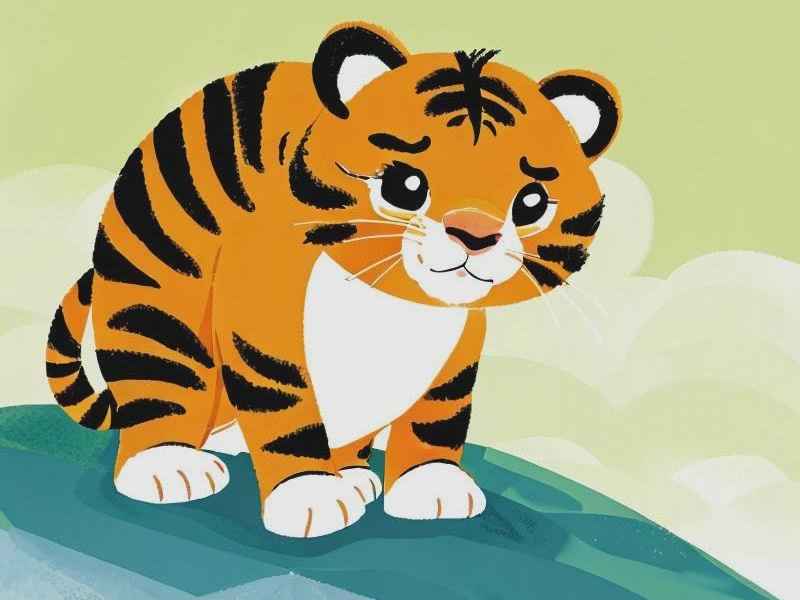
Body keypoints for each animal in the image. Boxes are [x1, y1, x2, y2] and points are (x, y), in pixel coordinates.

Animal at [44, 21, 620, 538]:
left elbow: (438, 418)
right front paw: (309, 495)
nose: (474, 234)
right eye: (406, 185)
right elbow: (286, 410)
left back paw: (350, 473)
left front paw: (432, 485)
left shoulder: (454, 351)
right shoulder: (263, 326)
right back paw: (169, 465)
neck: (391, 300)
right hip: (158, 310)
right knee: (164, 384)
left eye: (531, 202)